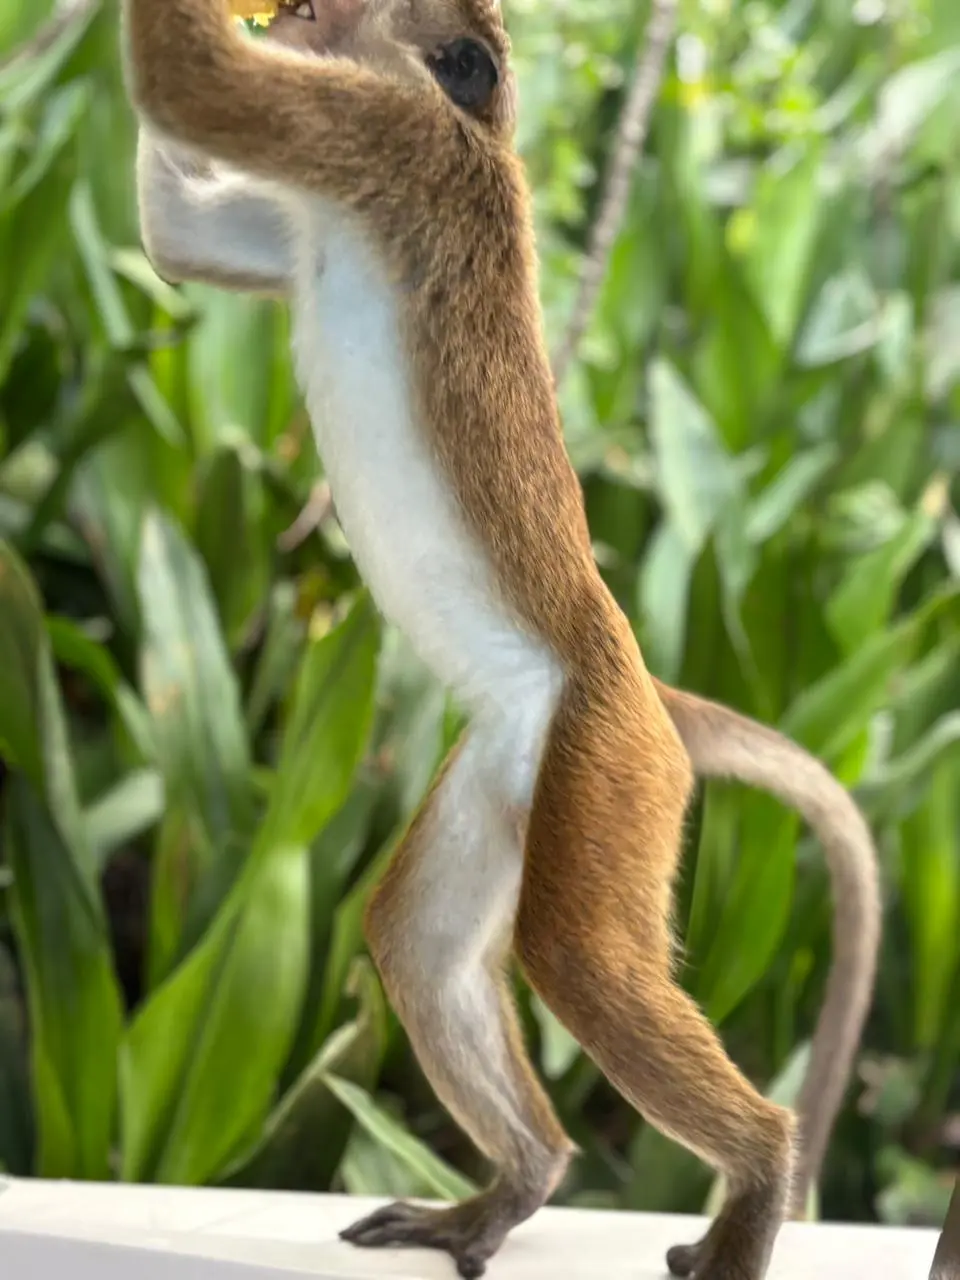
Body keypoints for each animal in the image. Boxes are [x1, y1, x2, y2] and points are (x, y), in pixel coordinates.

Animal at [121, 2, 881, 1276]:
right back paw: (519, 1180)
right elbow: (174, 228)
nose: (302, 12)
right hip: (515, 757)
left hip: (610, 760)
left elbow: (193, 89)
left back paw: (759, 1171)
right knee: (423, 940)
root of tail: (648, 687)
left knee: (578, 954)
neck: (467, 130)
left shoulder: (391, 146)